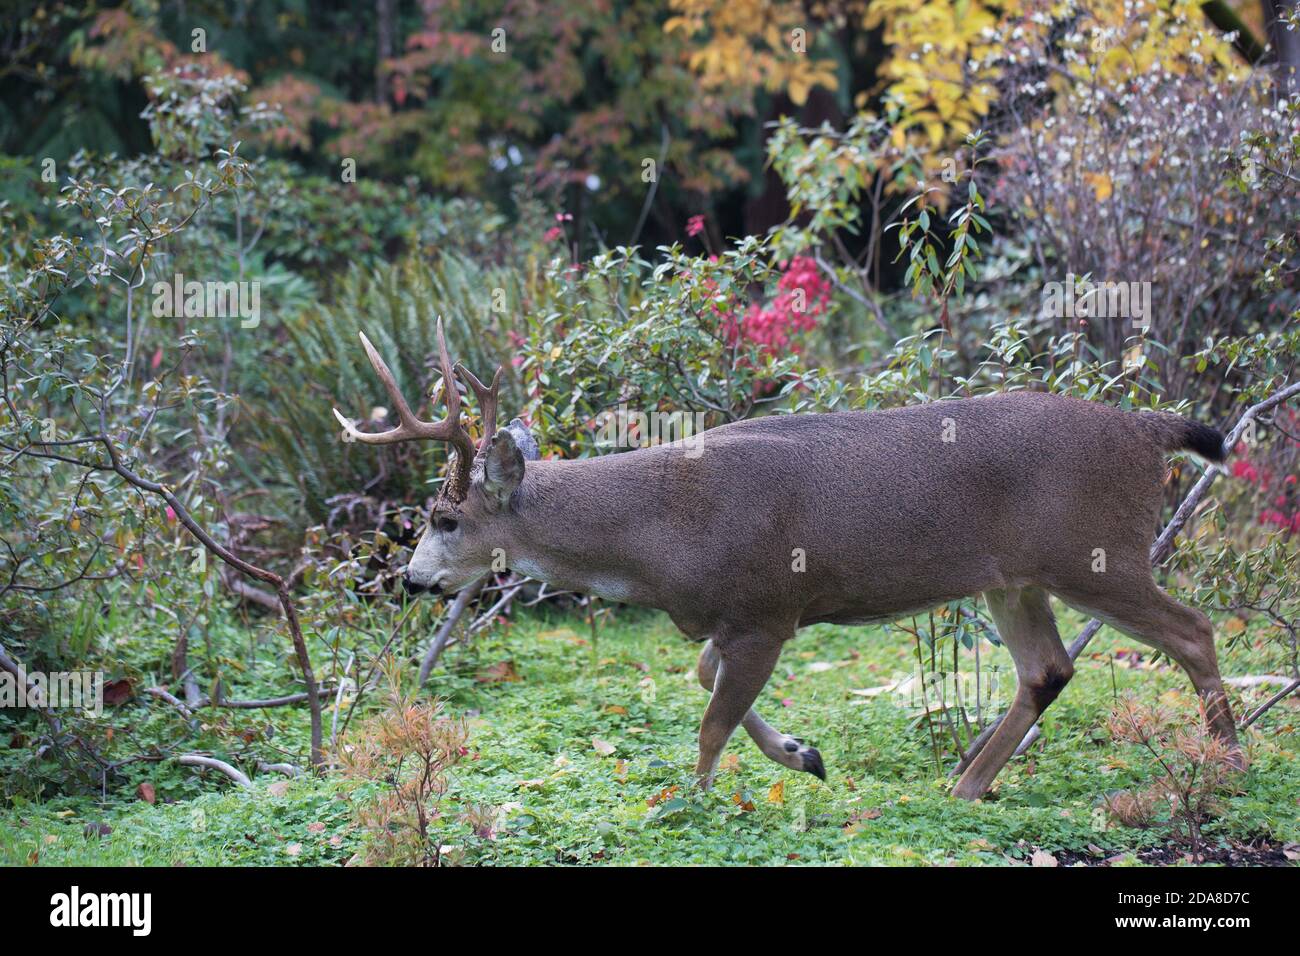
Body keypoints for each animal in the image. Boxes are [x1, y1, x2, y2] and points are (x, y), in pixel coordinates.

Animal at [332, 319, 1243, 800]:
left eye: (446, 517)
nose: (413, 579)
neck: (658, 534)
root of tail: (1148, 431)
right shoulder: (734, 618)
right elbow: (705, 678)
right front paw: (804, 754)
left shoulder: (769, 609)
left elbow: (710, 720)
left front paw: (695, 805)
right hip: (1015, 577)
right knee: (1048, 669)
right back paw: (964, 788)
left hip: (1095, 552)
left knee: (1193, 630)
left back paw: (1229, 767)